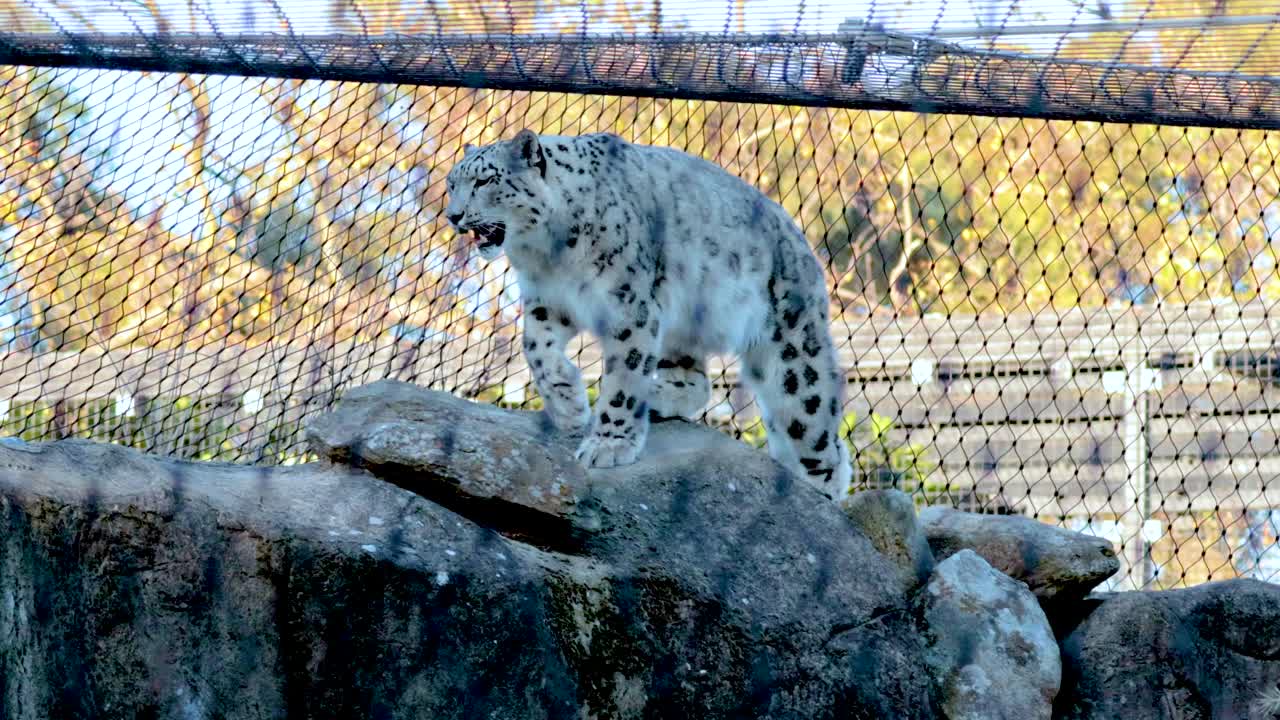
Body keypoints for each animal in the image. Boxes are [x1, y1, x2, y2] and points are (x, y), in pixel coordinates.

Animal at [444, 130, 853, 500]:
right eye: (451, 184)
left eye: (485, 179)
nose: (453, 215)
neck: (547, 253)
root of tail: (803, 245)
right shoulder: (548, 301)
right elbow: (535, 348)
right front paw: (568, 403)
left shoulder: (628, 306)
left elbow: (623, 378)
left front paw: (608, 444)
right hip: (680, 325)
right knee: (695, 382)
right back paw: (656, 396)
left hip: (791, 350)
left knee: (816, 424)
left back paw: (821, 496)